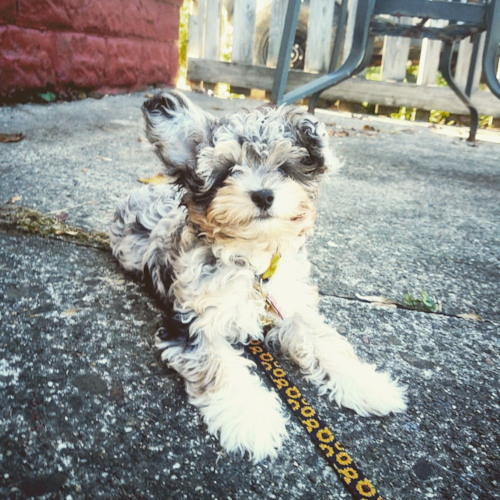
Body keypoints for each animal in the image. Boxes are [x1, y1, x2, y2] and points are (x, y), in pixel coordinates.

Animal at [110, 90, 406, 460]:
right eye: (227, 172)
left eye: (283, 169)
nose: (264, 195)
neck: (252, 260)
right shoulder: (191, 323)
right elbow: (219, 364)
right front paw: (251, 418)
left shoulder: (291, 304)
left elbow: (325, 342)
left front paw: (367, 385)